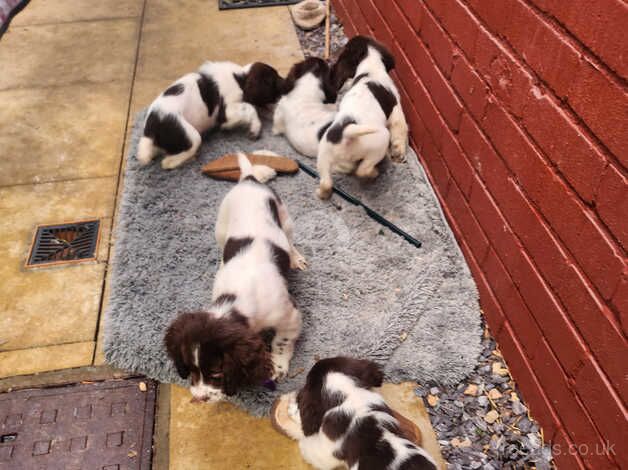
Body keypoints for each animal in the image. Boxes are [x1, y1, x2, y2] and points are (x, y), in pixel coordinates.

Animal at [139, 61, 284, 170]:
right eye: (274, 80)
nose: (287, 83)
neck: (240, 79)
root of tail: (149, 131)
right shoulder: (226, 113)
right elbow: (250, 108)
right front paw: (255, 128)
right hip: (189, 133)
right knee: (176, 157)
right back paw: (176, 160)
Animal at [164, 152, 306, 402]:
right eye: (191, 369)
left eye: (216, 372)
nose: (199, 398)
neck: (237, 300)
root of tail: (249, 179)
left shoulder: (290, 316)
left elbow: (281, 341)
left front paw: (278, 365)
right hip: (221, 228)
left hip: (284, 217)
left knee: (289, 240)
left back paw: (295, 258)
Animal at [316, 35, 410, 199]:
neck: (370, 67)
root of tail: (348, 133)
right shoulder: (396, 110)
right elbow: (401, 129)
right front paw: (399, 152)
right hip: (378, 146)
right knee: (362, 170)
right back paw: (374, 173)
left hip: (324, 155)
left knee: (326, 182)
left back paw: (322, 193)